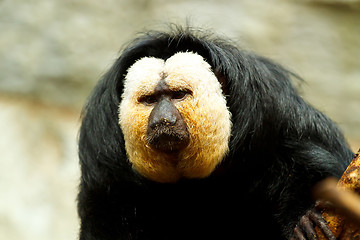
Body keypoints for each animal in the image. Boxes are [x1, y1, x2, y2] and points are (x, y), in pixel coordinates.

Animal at [77, 26, 352, 240]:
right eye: (149, 100)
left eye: (178, 95)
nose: (162, 120)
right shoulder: (102, 142)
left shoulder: (270, 107)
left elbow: (308, 157)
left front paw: (305, 216)